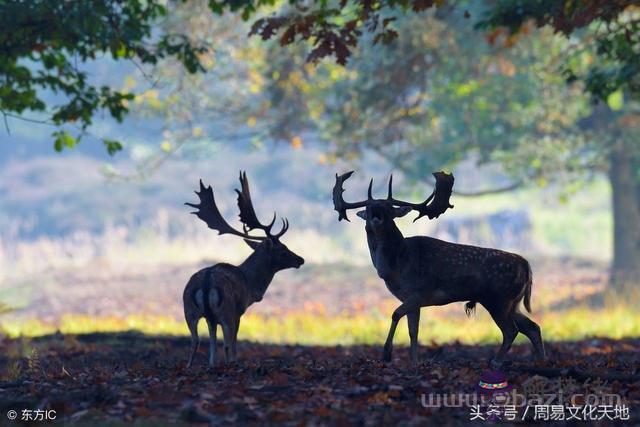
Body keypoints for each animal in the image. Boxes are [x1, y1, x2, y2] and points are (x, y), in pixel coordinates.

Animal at [184, 171, 304, 368]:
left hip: (189, 310)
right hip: (226, 311)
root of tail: (207, 282)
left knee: (195, 341)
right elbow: (233, 343)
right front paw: (233, 361)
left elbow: (211, 343)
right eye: (283, 248)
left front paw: (211, 364)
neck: (249, 283)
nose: (300, 259)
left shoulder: (211, 319)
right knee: (226, 343)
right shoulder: (239, 311)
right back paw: (230, 364)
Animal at [332, 172, 548, 366]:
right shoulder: (411, 299)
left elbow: (395, 314)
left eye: (388, 207)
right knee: (532, 327)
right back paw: (541, 361)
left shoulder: (420, 292)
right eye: (368, 207)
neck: (397, 265)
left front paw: (387, 354)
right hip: (513, 302)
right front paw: (414, 362)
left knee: (512, 330)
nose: (376, 210)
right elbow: (413, 330)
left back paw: (496, 361)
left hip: (498, 299)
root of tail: (526, 265)